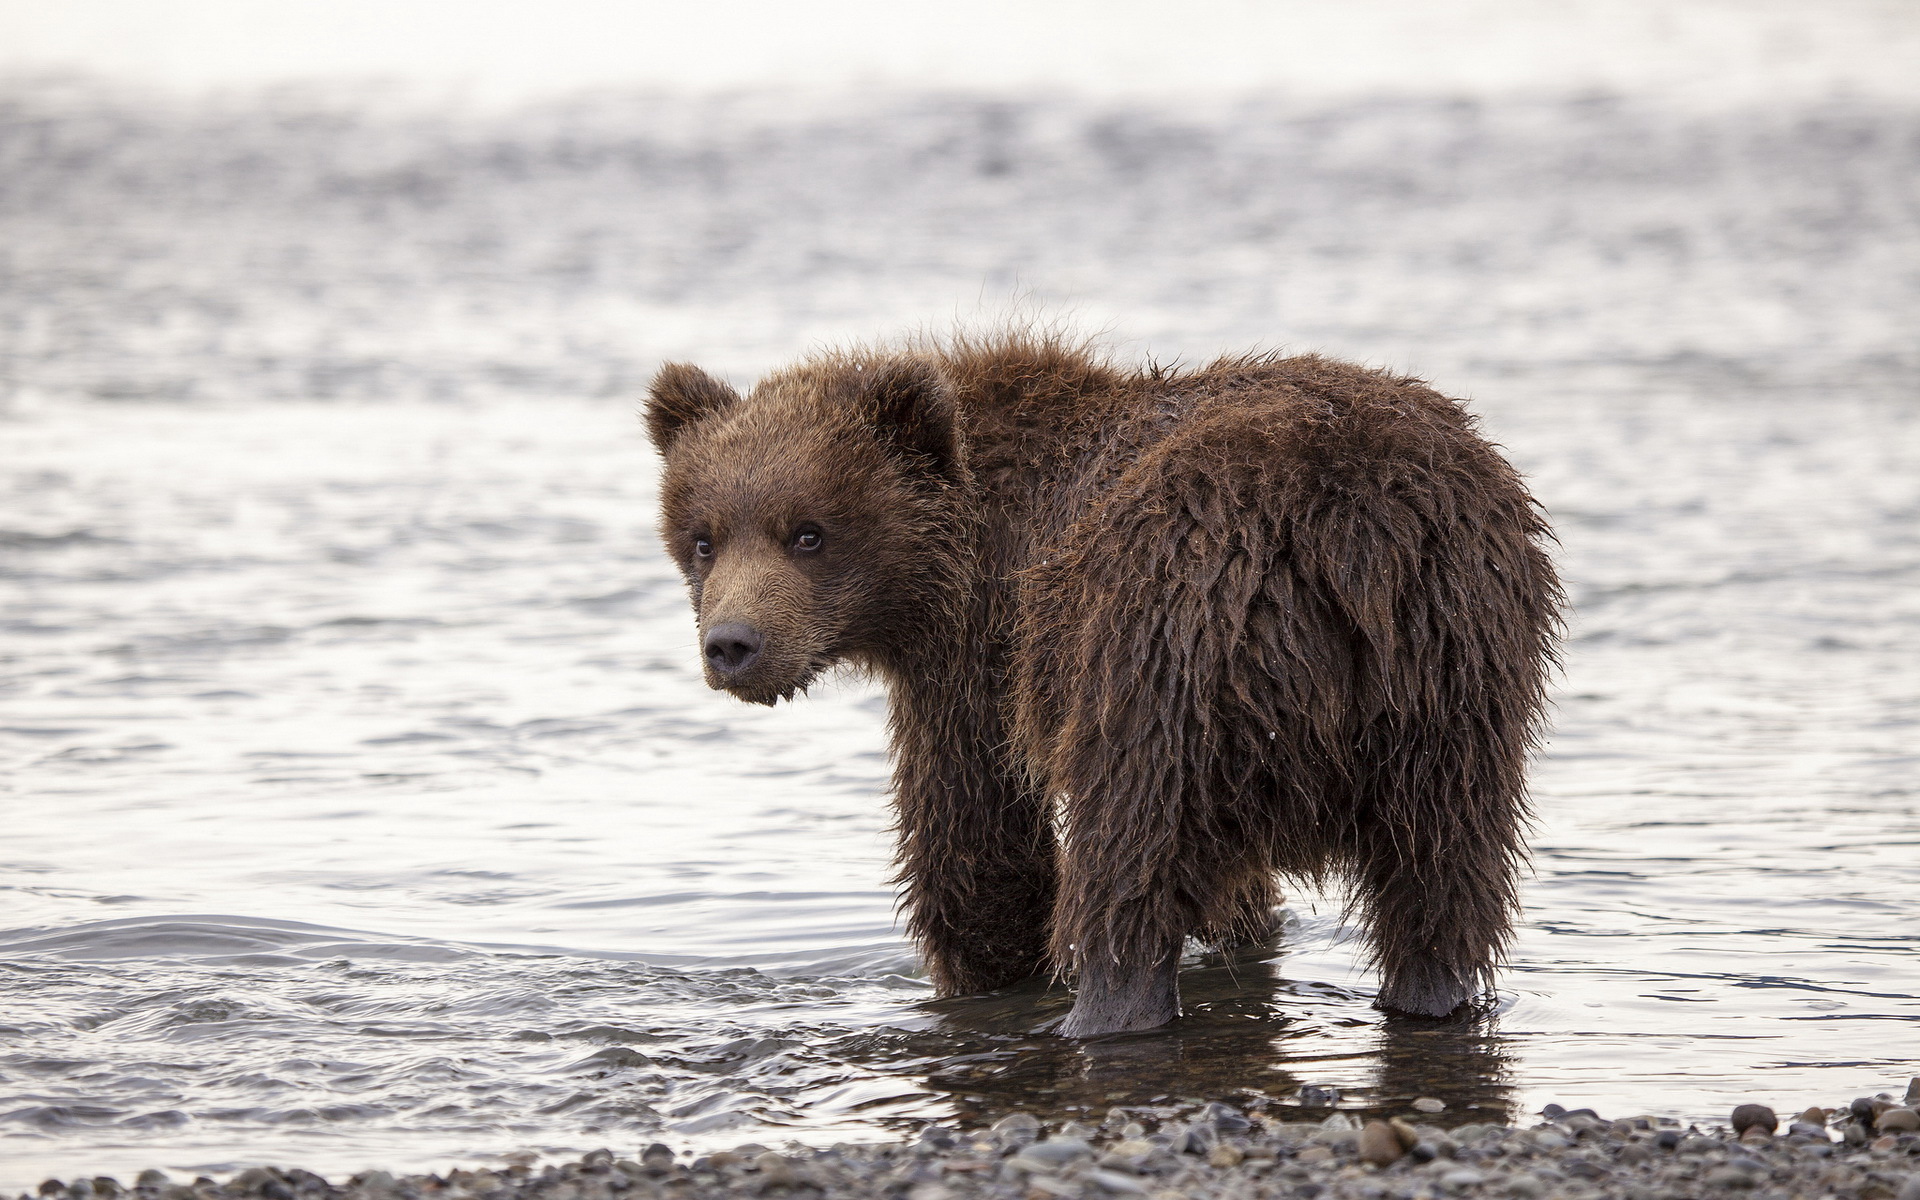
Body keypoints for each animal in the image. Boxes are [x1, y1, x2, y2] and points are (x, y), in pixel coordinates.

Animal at [645, 332, 1559, 1036]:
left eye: (809, 533)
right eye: (703, 537)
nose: (733, 644)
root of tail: (1348, 534)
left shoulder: (985, 653)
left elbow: (976, 836)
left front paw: (987, 968)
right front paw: (1247, 926)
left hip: (1160, 646)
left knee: (1127, 850)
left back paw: (1100, 1011)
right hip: (1456, 678)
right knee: (1443, 874)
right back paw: (1432, 993)